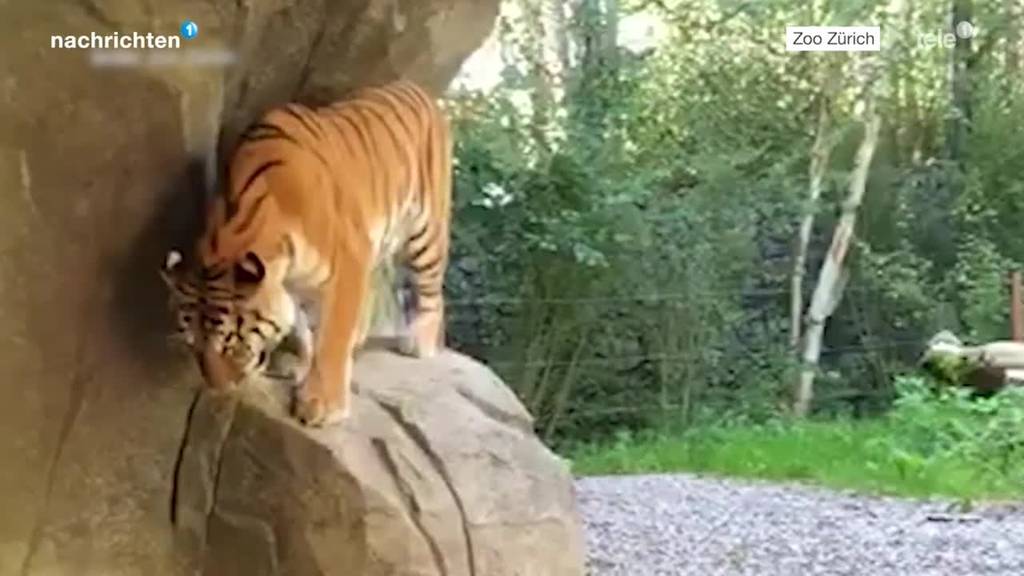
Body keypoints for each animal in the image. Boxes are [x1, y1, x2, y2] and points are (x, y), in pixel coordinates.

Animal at [159, 78, 452, 424]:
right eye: (193, 347)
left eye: (232, 345)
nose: (218, 389)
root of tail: (417, 88)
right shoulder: (295, 283)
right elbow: (307, 329)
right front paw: (303, 369)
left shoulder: (349, 258)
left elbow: (332, 335)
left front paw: (322, 404)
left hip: (425, 232)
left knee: (432, 290)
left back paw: (419, 342)